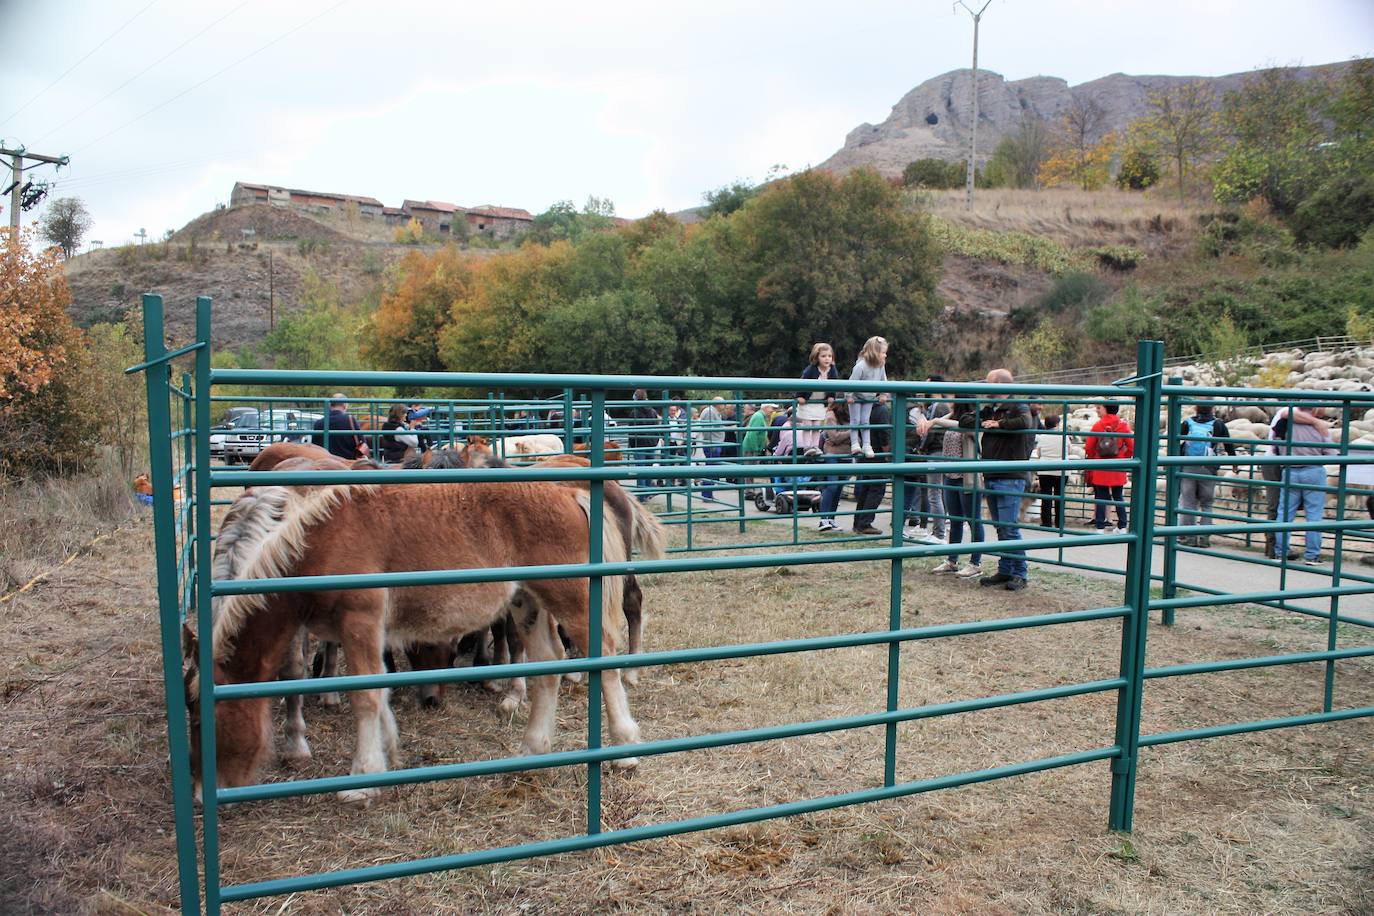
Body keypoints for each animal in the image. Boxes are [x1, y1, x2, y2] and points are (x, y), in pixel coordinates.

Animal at [188, 480, 665, 802]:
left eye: (204, 717)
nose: (200, 790)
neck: (320, 543)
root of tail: (571, 494)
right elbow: (378, 694)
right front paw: (386, 756)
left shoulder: (360, 622)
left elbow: (365, 697)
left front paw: (361, 780)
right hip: (527, 603)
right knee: (548, 668)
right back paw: (533, 749)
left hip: (573, 600)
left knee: (604, 662)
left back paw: (625, 750)